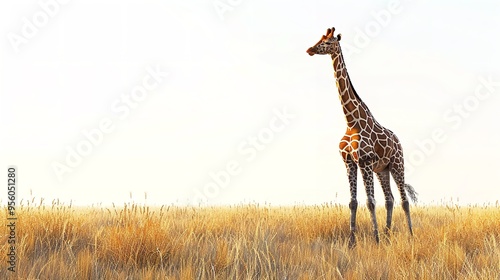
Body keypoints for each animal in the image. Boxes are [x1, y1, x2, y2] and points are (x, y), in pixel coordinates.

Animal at [304, 27, 418, 247]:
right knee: (390, 199)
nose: (310, 49)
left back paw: (409, 235)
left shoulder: (364, 161)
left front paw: (376, 240)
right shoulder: (349, 162)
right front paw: (352, 242)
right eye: (320, 39)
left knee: (404, 200)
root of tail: (398, 141)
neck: (351, 122)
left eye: (328, 43)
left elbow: (370, 202)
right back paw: (388, 234)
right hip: (382, 170)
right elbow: (353, 202)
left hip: (397, 164)